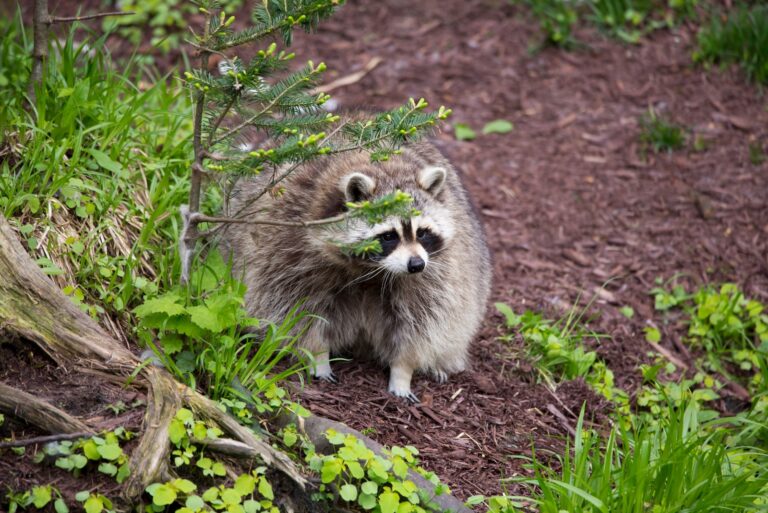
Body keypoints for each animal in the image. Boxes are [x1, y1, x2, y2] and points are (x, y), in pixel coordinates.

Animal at [222, 141, 491, 401]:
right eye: (388, 236)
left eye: (422, 232)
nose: (416, 265)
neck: (371, 270)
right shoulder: (288, 245)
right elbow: (297, 310)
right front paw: (318, 354)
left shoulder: (435, 273)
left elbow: (423, 321)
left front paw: (403, 369)